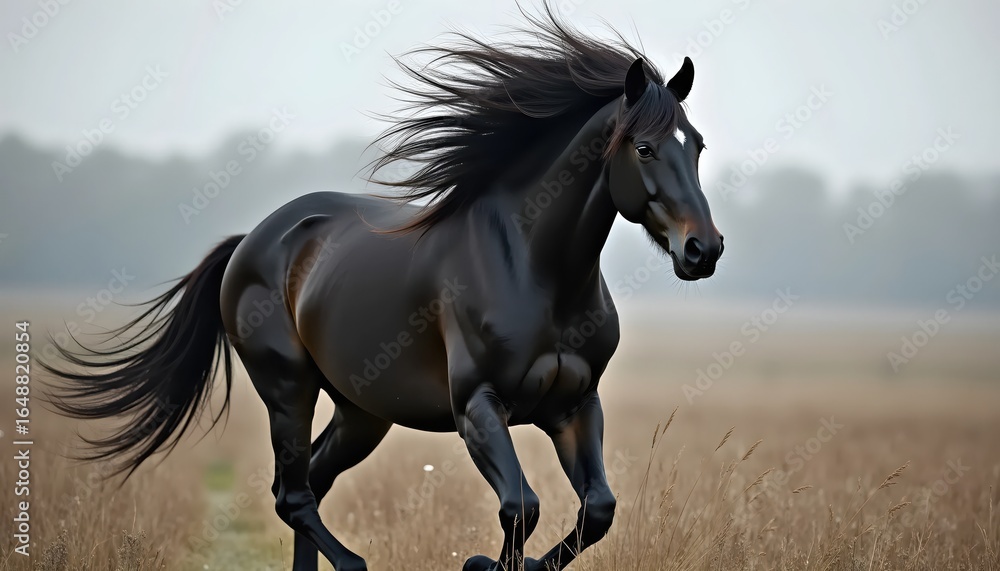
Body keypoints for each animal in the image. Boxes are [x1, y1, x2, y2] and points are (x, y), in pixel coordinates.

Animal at [44, 8, 723, 571]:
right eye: (643, 147)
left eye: (697, 145)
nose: (704, 250)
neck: (538, 271)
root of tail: (251, 242)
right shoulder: (478, 408)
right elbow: (520, 508)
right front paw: (482, 564)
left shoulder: (575, 405)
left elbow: (596, 511)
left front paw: (511, 563)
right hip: (288, 387)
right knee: (293, 496)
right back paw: (353, 564)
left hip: (362, 411)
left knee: (308, 484)